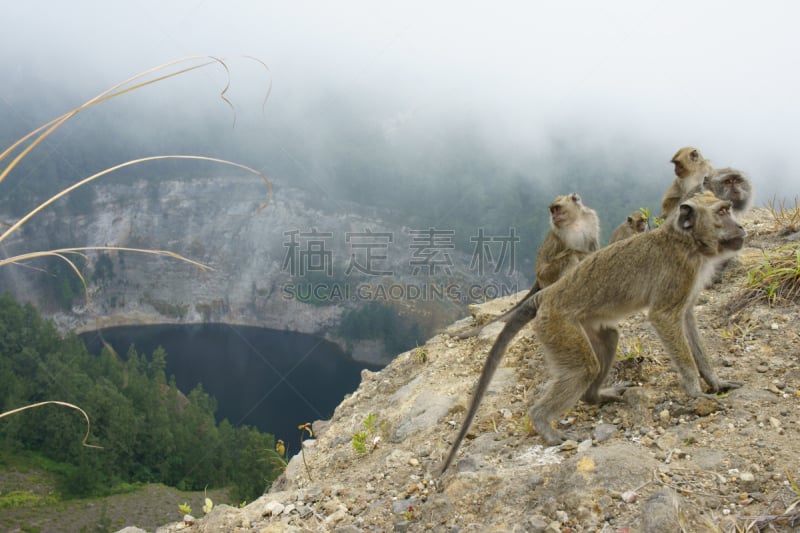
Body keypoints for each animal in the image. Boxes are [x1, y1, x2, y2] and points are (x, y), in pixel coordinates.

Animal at [454, 193, 596, 338]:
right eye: (553, 210)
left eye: (557, 208)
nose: (554, 217)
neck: (575, 221)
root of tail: (538, 278)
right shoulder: (560, 232)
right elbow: (566, 253)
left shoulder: (591, 219)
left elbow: (592, 247)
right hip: (547, 275)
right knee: (569, 258)